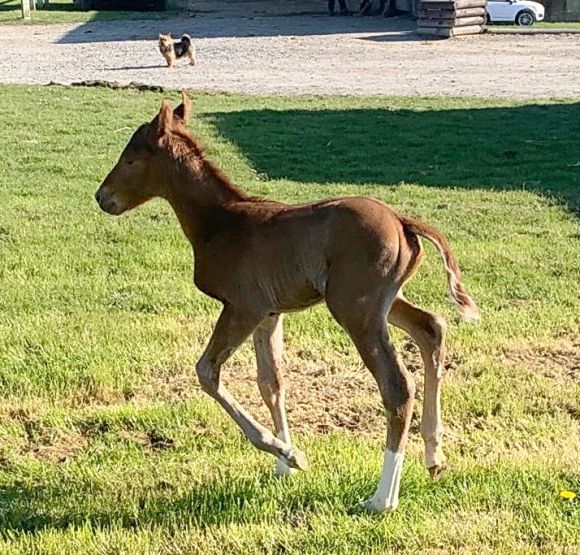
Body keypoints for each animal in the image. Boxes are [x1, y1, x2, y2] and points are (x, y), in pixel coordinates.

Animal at [94, 93, 480, 516]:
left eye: (132, 159)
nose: (102, 197)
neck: (222, 222)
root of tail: (401, 220)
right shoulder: (270, 313)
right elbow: (271, 383)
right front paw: (284, 462)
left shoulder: (244, 307)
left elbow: (207, 372)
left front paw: (289, 453)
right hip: (383, 301)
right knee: (432, 327)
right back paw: (434, 455)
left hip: (355, 308)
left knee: (397, 385)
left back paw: (382, 498)